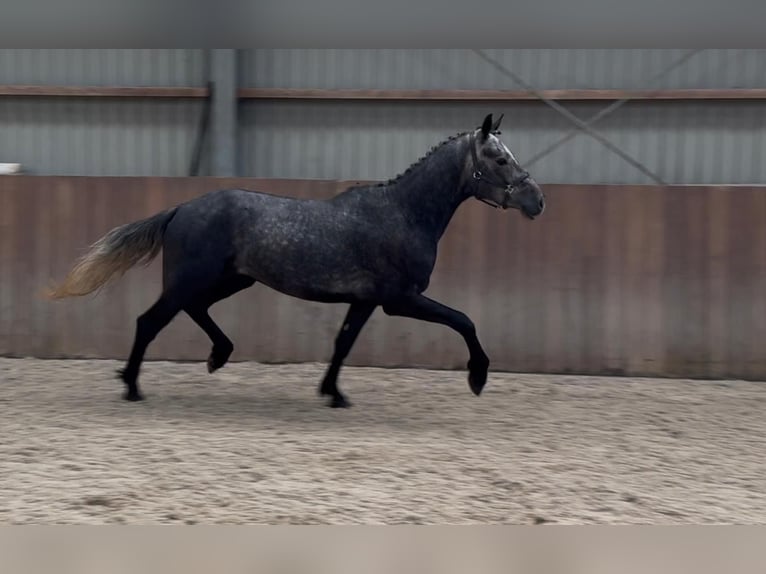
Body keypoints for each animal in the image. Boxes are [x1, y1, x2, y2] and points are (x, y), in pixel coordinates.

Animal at [47, 113, 545, 408]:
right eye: (499, 158)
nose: (537, 201)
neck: (403, 214)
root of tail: (181, 209)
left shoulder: (365, 301)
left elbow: (343, 344)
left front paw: (333, 393)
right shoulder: (399, 299)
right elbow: (464, 320)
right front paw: (478, 377)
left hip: (231, 280)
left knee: (194, 310)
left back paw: (216, 357)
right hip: (193, 280)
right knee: (149, 321)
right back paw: (132, 386)